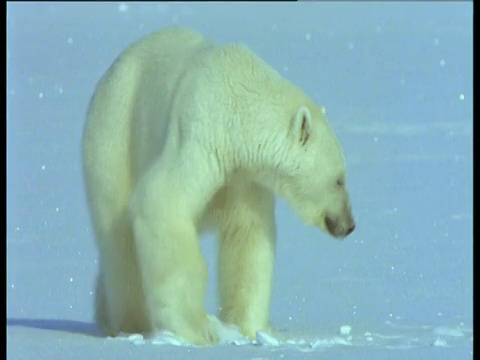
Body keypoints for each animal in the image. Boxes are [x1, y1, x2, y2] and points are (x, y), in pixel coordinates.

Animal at [82, 26, 354, 346]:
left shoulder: (244, 174)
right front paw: (197, 329)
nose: (349, 225)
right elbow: (163, 201)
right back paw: (130, 323)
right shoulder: (200, 137)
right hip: (115, 135)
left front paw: (248, 328)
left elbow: (248, 235)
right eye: (339, 179)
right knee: (117, 237)